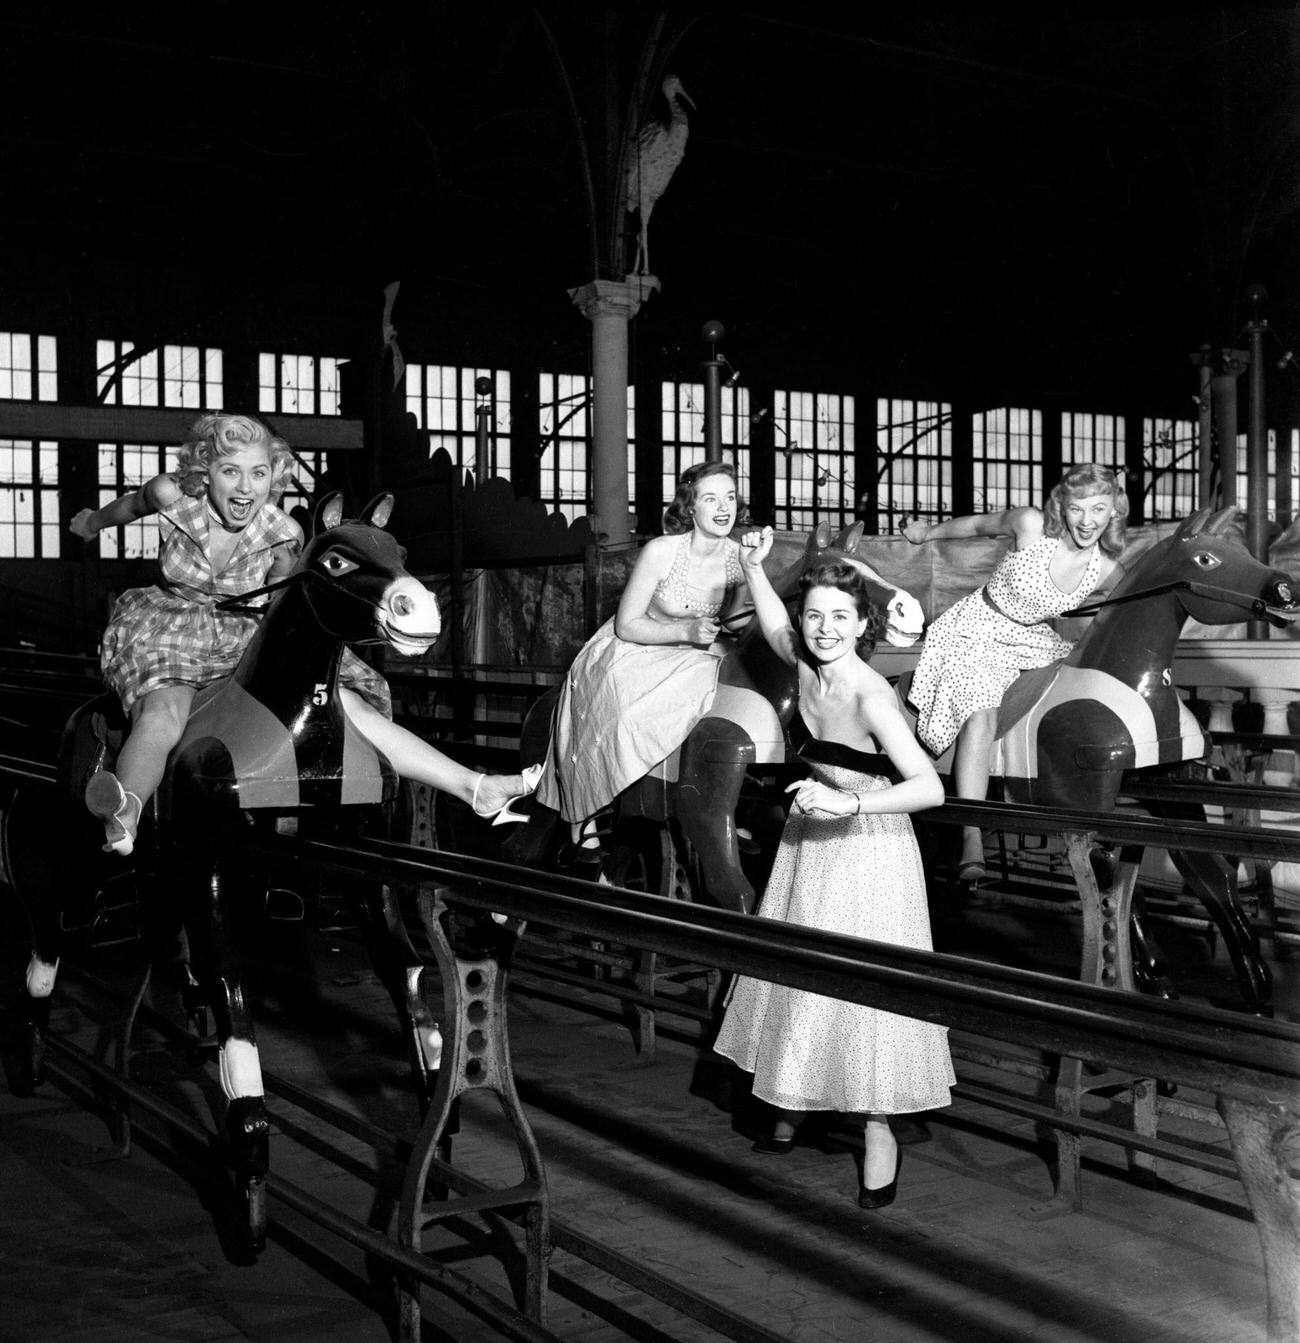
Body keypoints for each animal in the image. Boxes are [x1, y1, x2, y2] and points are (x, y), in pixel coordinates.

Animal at [11, 491, 445, 1246]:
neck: (296, 728)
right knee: (62, 923)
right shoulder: (213, 862)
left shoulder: (365, 867)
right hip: (89, 848)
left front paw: (435, 1146)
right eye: (335, 560)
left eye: (400, 553)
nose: (417, 609)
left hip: (164, 865)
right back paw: (35, 1047)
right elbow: (234, 990)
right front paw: (249, 1186)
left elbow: (408, 972)